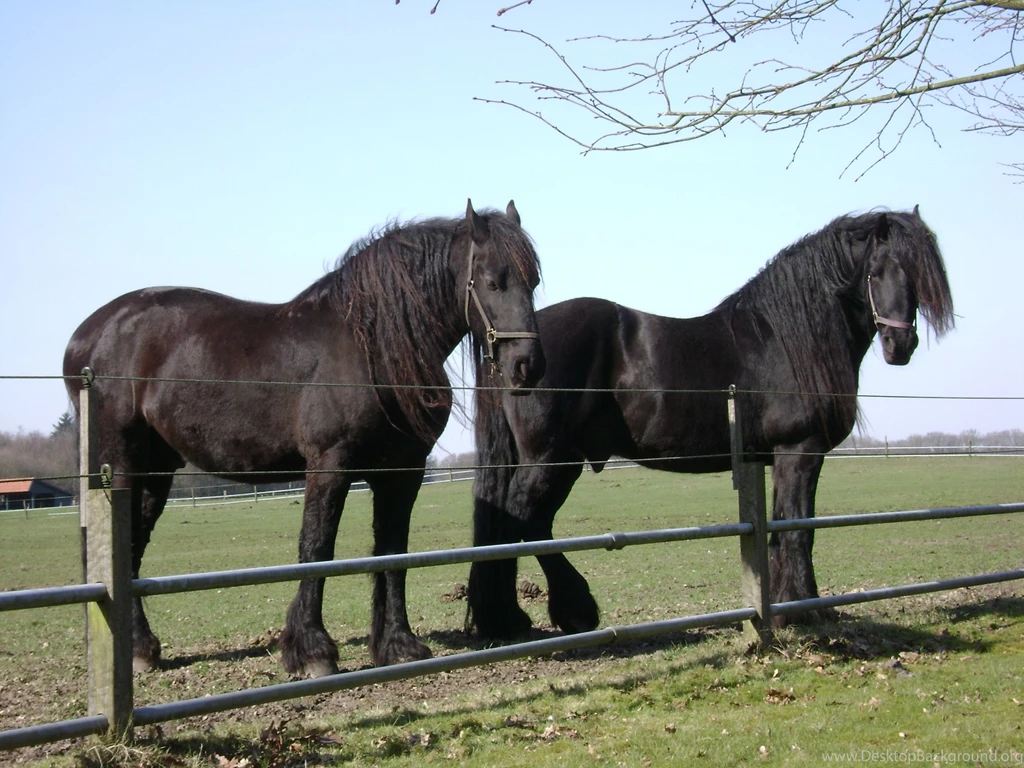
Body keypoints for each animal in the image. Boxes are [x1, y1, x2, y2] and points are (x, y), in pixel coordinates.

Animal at [64, 200, 545, 678]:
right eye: (493, 282)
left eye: (533, 282)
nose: (527, 365)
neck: (372, 348)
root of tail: (88, 335)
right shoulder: (330, 465)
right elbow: (317, 546)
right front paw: (312, 651)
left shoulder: (403, 472)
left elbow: (393, 552)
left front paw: (398, 645)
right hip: (123, 462)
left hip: (157, 468)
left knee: (133, 543)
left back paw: (142, 648)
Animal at [466, 207, 954, 640]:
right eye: (876, 271)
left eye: (914, 275)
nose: (900, 344)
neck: (784, 338)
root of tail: (515, 350)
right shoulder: (800, 450)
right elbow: (798, 530)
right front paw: (806, 610)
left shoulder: (781, 458)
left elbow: (781, 530)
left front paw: (783, 609)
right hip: (550, 457)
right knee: (523, 522)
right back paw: (559, 612)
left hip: (559, 460)